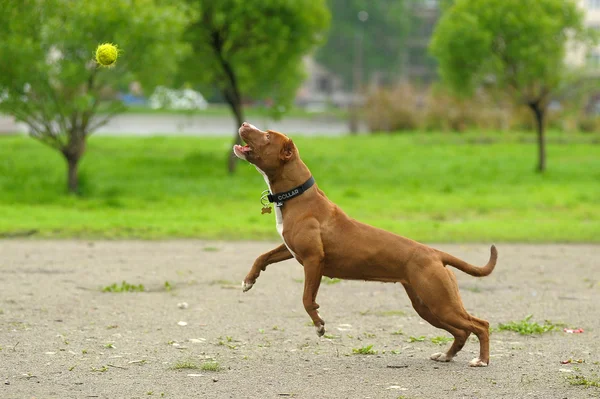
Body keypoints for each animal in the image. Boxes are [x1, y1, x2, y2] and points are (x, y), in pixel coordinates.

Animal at [233, 122, 496, 368]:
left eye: (268, 136)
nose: (245, 124)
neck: (296, 195)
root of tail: (435, 254)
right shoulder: (290, 249)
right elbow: (263, 256)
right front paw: (248, 281)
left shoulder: (313, 260)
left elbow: (307, 299)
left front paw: (319, 325)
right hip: (427, 306)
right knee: (462, 331)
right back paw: (446, 355)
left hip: (440, 302)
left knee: (480, 324)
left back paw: (481, 360)